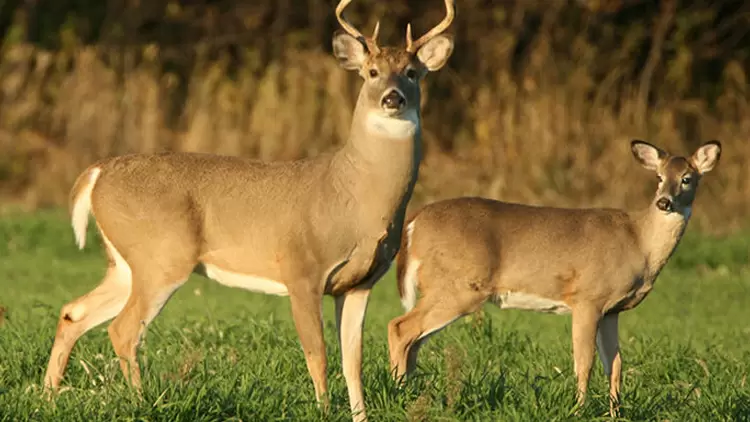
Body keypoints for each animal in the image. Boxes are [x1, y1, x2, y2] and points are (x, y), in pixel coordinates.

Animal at [42, 1, 456, 420]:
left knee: (73, 313)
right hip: (161, 256)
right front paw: (323, 411)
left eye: (411, 73)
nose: (392, 99)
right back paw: (142, 403)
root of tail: (97, 172)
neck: (354, 197)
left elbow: (351, 360)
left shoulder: (359, 283)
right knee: (123, 330)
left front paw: (361, 415)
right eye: (371, 72)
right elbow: (318, 354)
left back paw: (48, 396)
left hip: (127, 263)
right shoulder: (301, 269)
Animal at [387, 140, 721, 417]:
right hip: (458, 287)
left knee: (413, 341)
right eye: (659, 178)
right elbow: (584, 362)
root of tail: (414, 222)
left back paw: (410, 393)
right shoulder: (588, 297)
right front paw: (578, 410)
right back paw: (398, 392)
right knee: (400, 328)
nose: (664, 202)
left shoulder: (612, 310)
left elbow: (614, 364)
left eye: (687, 178)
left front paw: (616, 413)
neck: (639, 242)